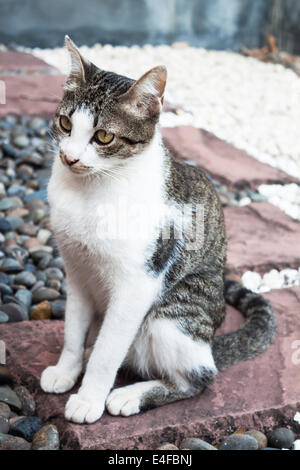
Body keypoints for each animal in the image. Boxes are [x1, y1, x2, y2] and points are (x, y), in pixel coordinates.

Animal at [40, 36, 276, 424]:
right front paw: (66, 369)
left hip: (173, 315)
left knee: (200, 377)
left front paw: (89, 399)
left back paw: (130, 395)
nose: (69, 158)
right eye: (64, 123)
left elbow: (108, 352)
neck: (90, 192)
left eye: (103, 136)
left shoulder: (137, 284)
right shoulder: (76, 270)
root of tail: (211, 342)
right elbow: (73, 329)